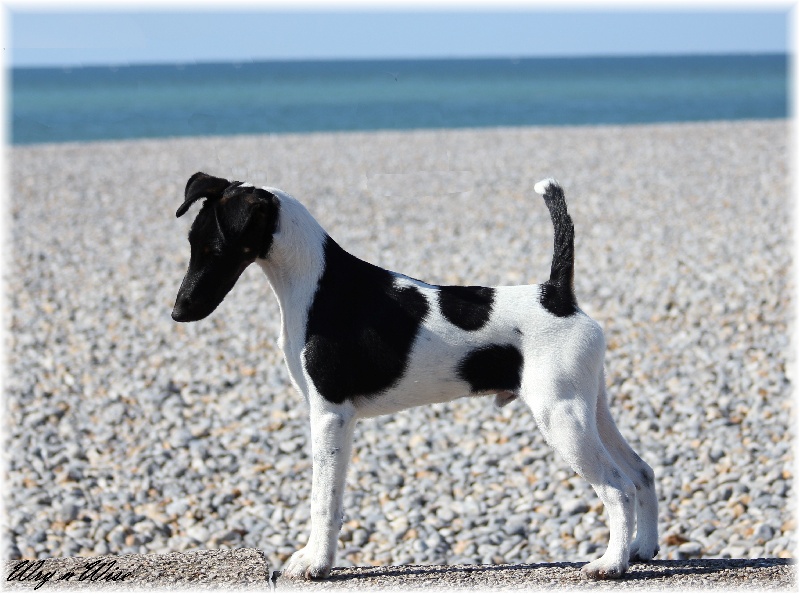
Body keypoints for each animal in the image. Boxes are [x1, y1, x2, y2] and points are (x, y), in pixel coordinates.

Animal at [172, 172, 659, 580]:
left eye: (214, 249)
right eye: (191, 243)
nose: (178, 312)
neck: (316, 284)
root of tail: (556, 294)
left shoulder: (329, 415)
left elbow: (324, 501)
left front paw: (315, 563)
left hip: (562, 419)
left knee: (616, 486)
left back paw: (611, 564)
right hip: (591, 410)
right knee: (641, 471)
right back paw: (643, 549)